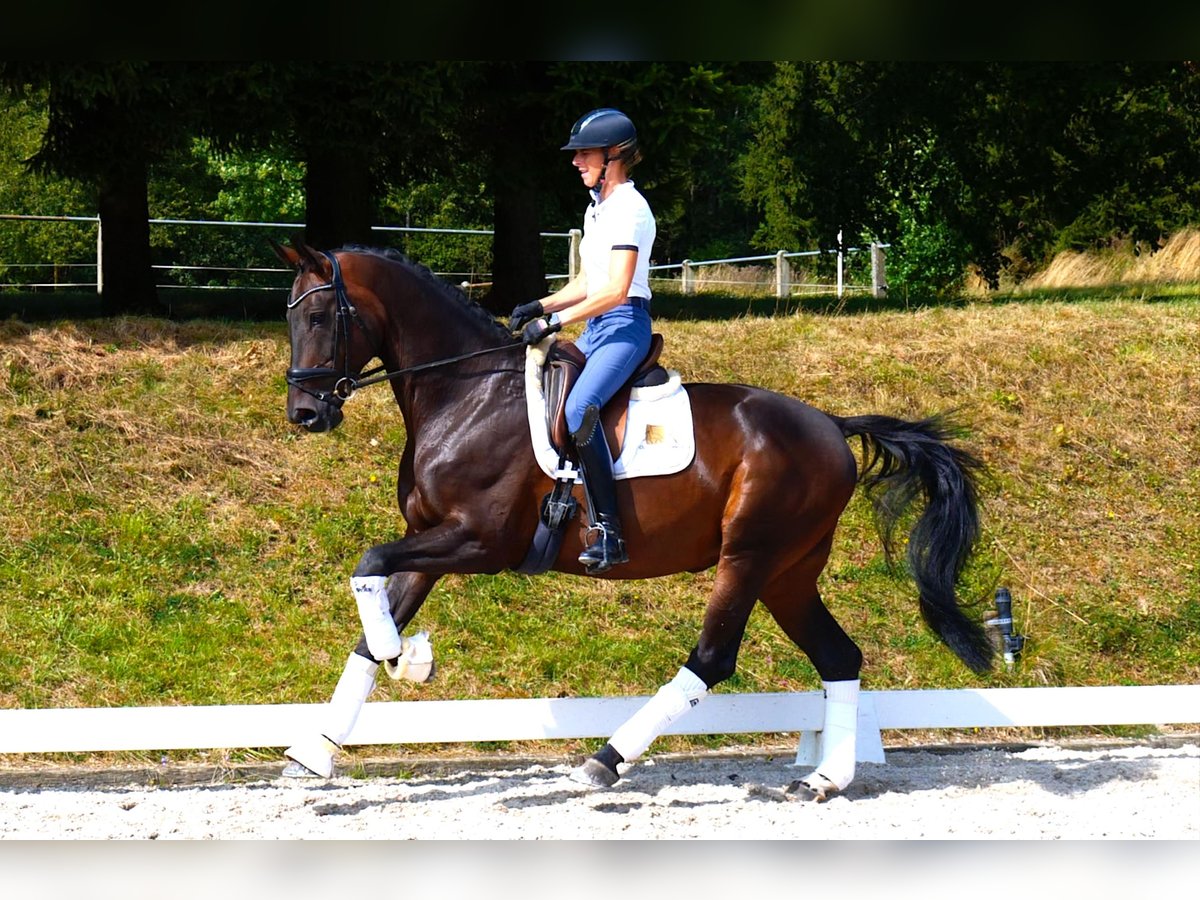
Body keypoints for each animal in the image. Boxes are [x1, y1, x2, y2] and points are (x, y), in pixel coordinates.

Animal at [274, 241, 993, 801]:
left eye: (319, 314)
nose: (305, 414)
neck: (467, 391)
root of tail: (831, 427)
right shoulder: (429, 539)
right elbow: (369, 625)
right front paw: (316, 748)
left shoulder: (478, 540)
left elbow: (369, 566)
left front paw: (409, 659)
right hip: (788, 572)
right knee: (839, 655)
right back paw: (822, 780)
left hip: (749, 555)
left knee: (711, 659)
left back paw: (604, 761)